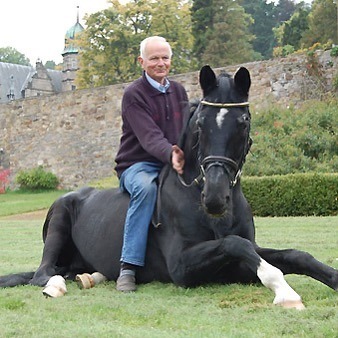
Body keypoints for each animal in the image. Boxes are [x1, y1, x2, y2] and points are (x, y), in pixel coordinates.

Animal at [0, 65, 338, 308]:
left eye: (243, 122)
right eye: (201, 123)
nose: (215, 198)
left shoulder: (242, 265)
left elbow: (294, 255)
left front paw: (331, 278)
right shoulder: (182, 268)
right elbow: (235, 245)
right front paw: (283, 291)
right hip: (58, 221)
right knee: (44, 274)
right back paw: (60, 285)